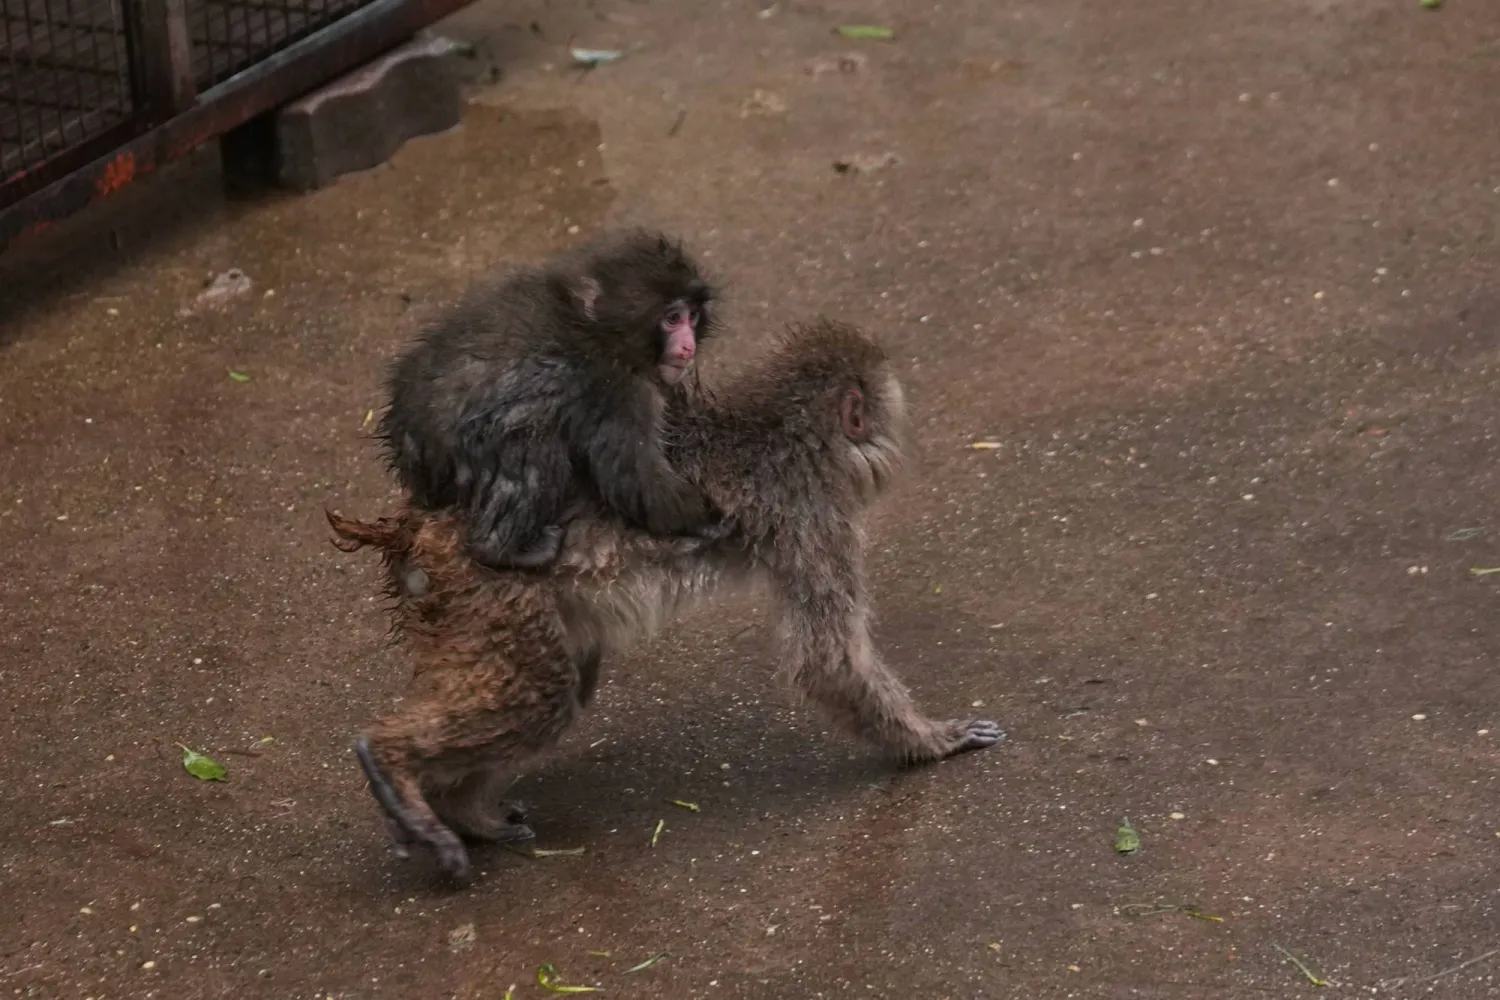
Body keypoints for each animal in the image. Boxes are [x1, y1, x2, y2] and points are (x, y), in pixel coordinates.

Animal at [330, 318, 1005, 882]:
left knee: (565, 683)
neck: (782, 432)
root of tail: (418, 526)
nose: (895, 444)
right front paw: (930, 742)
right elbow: (829, 662)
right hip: (484, 591)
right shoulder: (811, 513)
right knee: (542, 696)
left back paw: (461, 809)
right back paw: (394, 764)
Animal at [376, 228, 724, 572]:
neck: (601, 331)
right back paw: (499, 549)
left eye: (692, 317)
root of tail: (406, 438)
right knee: (534, 447)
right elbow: (635, 478)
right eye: (672, 319)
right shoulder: (618, 391)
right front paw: (707, 520)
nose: (688, 347)